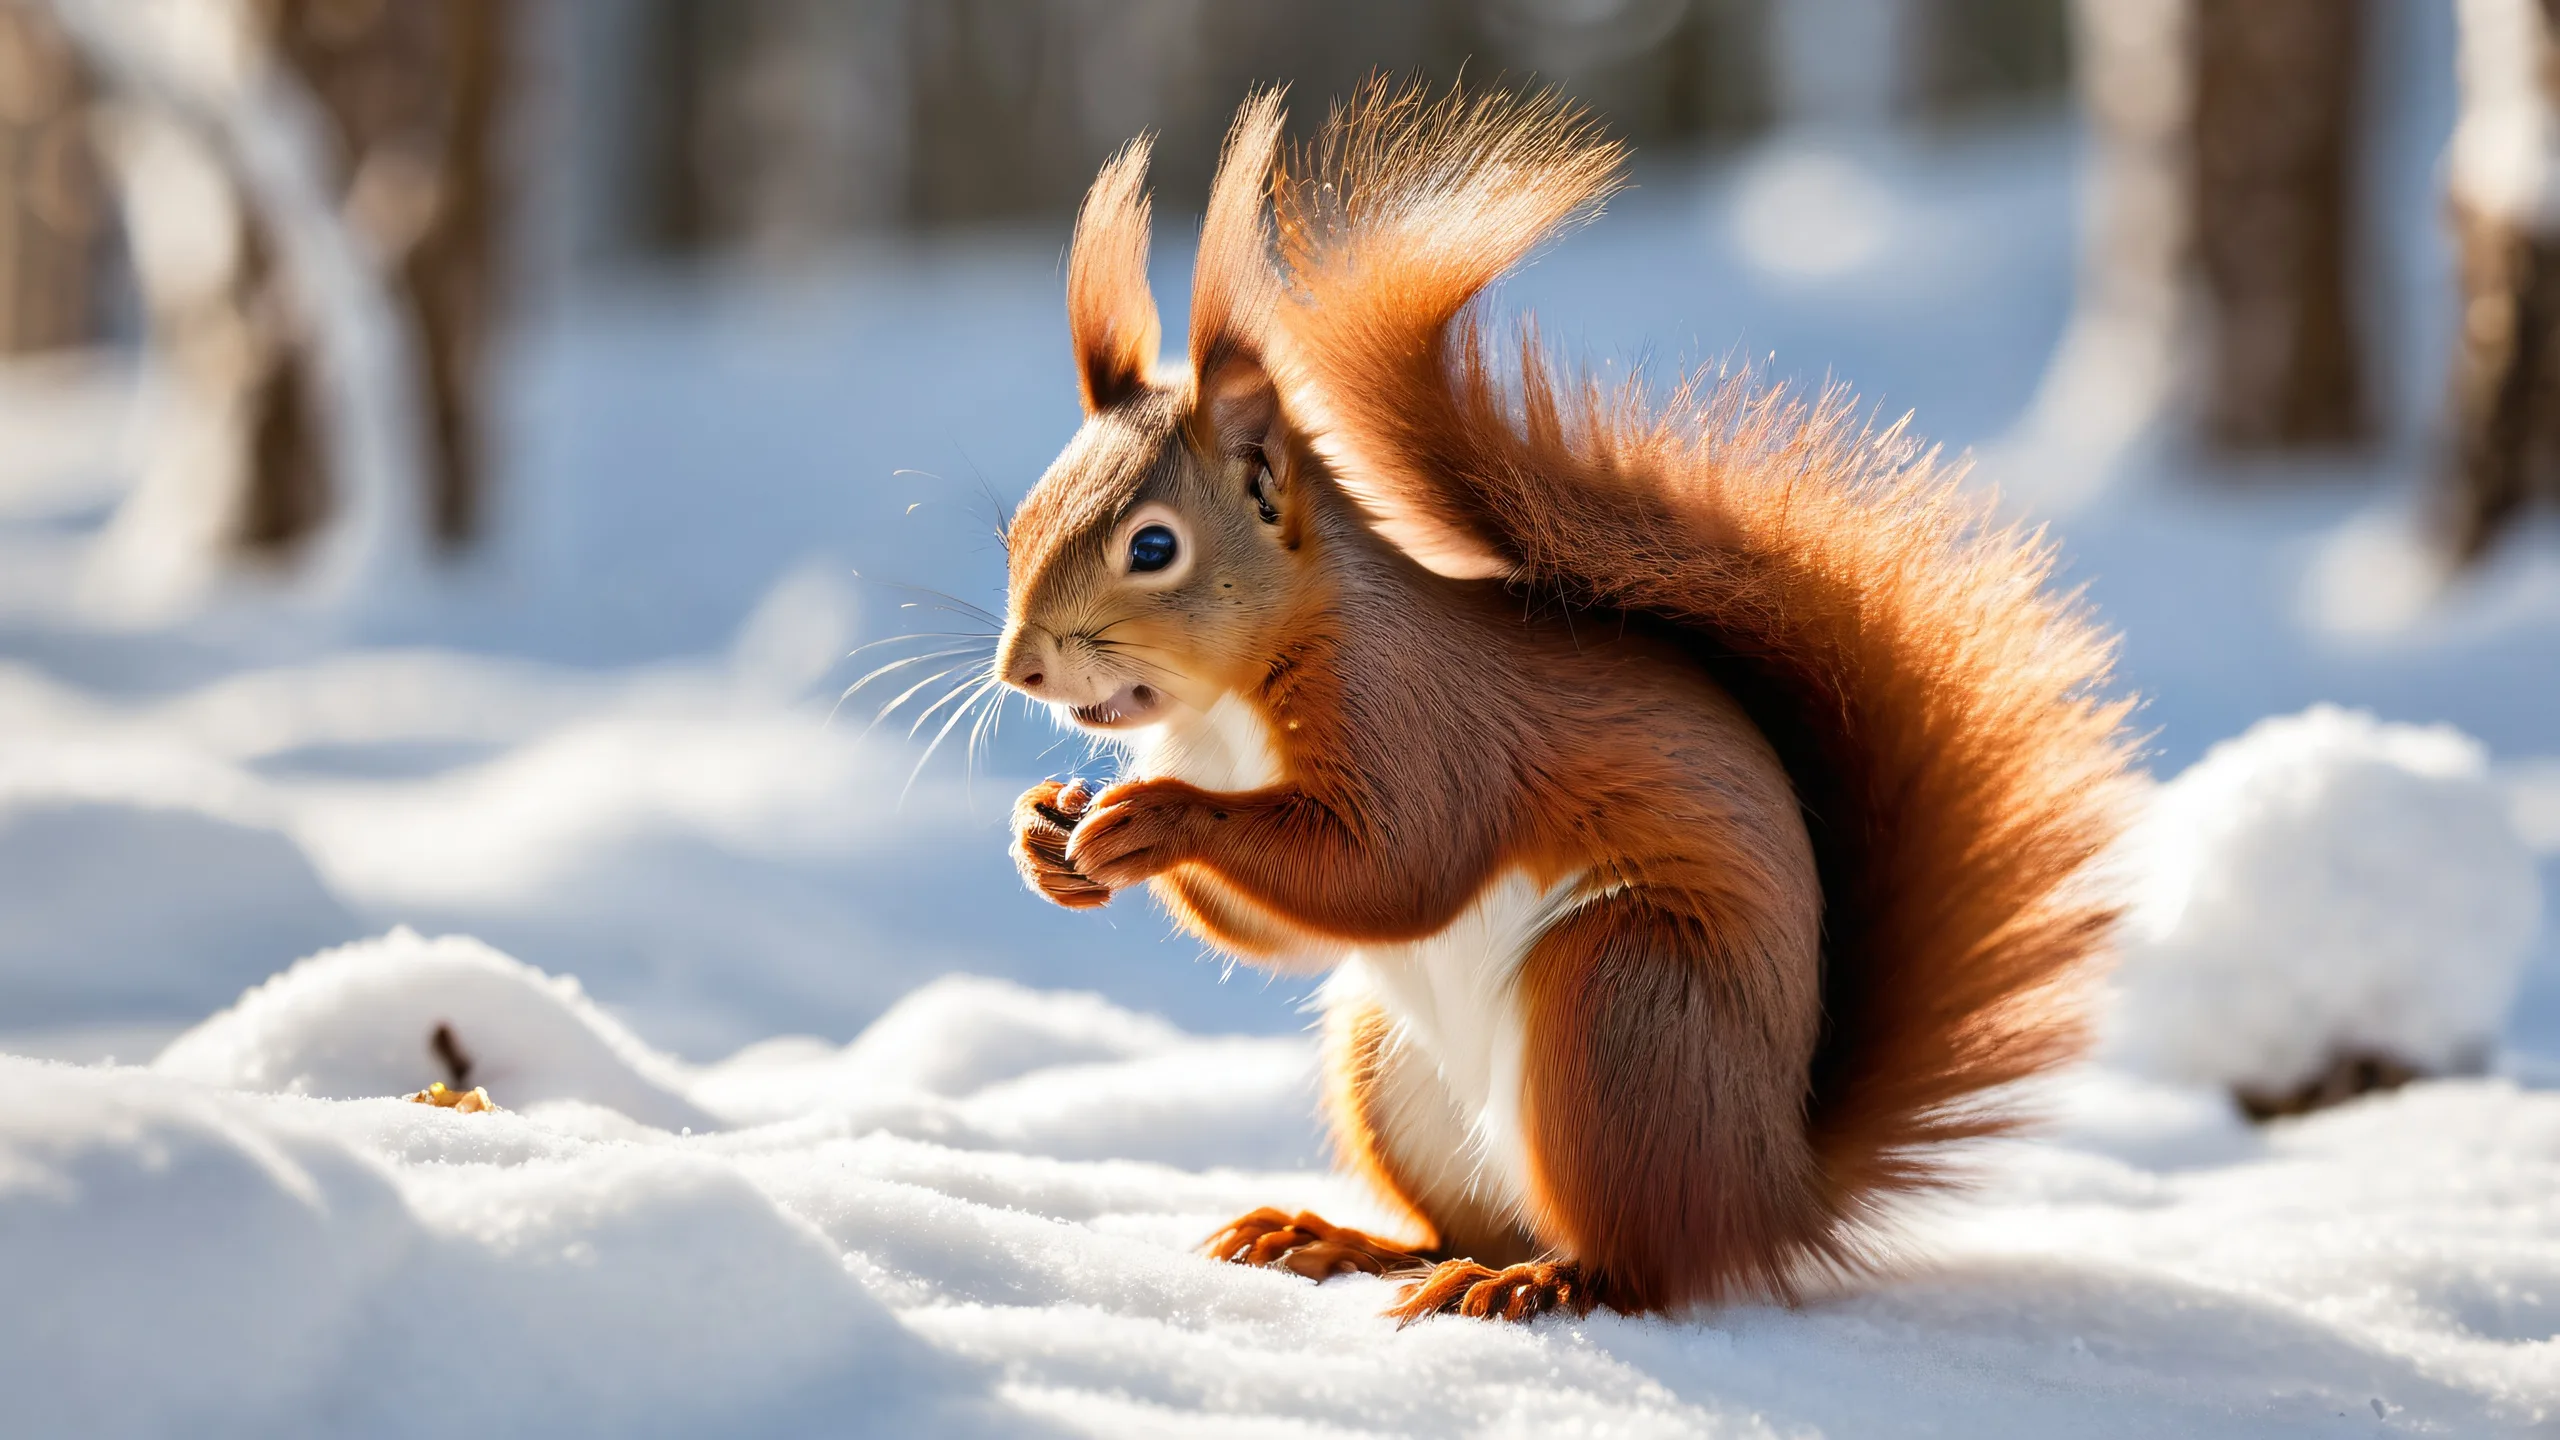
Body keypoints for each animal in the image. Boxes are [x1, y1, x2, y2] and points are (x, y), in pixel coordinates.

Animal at [995, 86, 2138, 1323]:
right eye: (1020, 521)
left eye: (1153, 547)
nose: (1019, 669)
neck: (1224, 713)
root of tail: (1771, 1193)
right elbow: (1280, 928)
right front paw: (1045, 837)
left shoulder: (1414, 715)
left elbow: (1394, 866)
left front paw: (1159, 819)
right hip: (1386, 1060)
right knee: (1455, 1220)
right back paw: (1342, 1238)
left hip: (1617, 1003)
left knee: (1637, 1266)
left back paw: (1531, 1281)